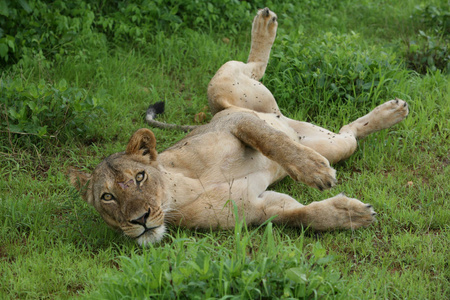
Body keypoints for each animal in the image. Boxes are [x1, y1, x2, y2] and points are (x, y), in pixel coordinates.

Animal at [69, 7, 408, 246]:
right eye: (107, 197)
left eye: (140, 177)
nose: (139, 220)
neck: (178, 193)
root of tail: (285, 118)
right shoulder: (260, 209)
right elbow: (303, 215)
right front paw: (350, 214)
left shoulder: (237, 122)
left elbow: (272, 142)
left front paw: (315, 171)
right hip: (333, 143)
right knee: (349, 131)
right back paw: (391, 112)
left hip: (223, 92)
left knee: (253, 71)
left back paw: (265, 22)